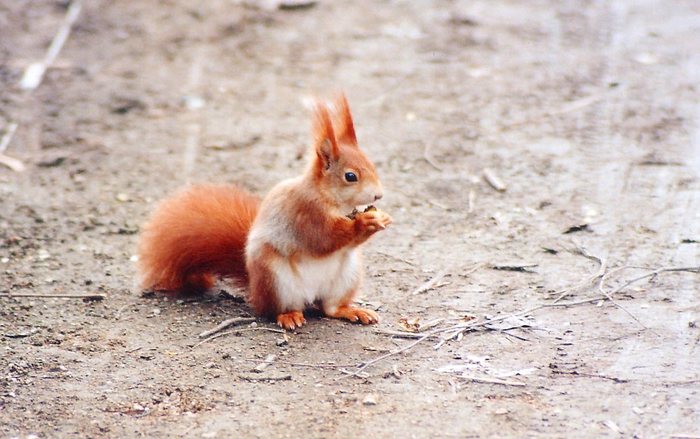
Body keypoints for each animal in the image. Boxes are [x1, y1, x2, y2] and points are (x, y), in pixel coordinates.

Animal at [135, 96, 388, 330]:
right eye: (350, 176)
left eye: (372, 165)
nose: (378, 195)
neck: (330, 199)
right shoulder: (305, 213)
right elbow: (324, 238)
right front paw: (365, 223)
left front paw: (380, 218)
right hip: (276, 279)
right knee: (276, 310)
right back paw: (289, 316)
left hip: (347, 275)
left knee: (330, 308)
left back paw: (352, 311)